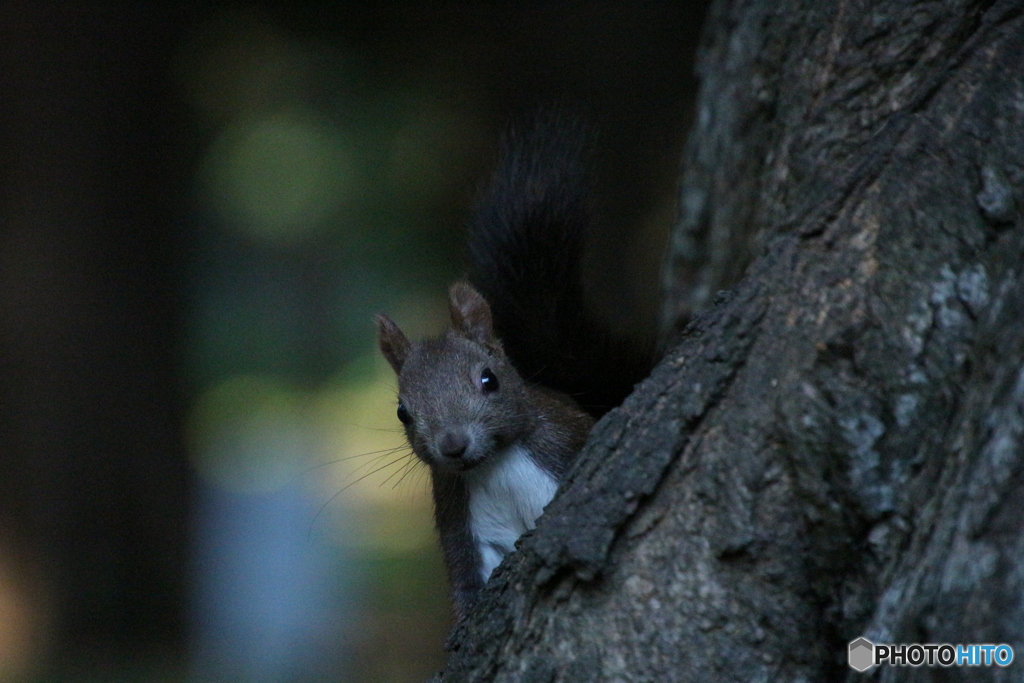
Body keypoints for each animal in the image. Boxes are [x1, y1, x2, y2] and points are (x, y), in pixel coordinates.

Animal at [374, 113, 647, 626]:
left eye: (489, 380)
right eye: (402, 412)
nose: (453, 444)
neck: (496, 464)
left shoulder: (565, 445)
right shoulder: (460, 518)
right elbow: (467, 580)